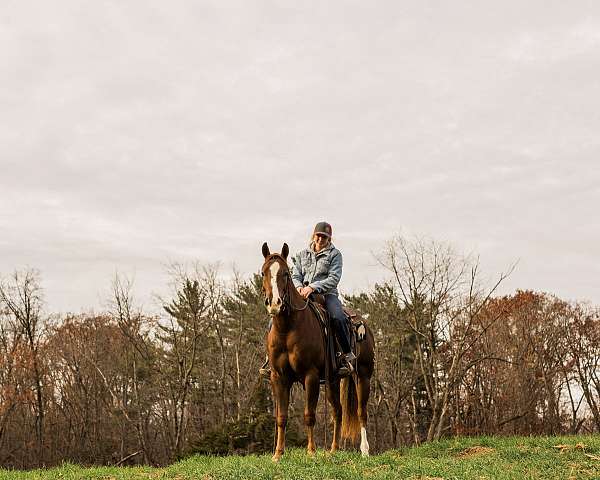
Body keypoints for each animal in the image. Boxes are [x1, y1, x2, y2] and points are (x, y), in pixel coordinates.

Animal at [258, 244, 372, 462]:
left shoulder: (310, 376)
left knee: (362, 411)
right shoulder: (278, 377)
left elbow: (309, 415)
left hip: (363, 376)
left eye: (285, 273)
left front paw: (311, 451)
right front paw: (278, 454)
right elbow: (281, 417)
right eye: (263, 272)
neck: (288, 328)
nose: (274, 303)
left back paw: (365, 450)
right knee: (338, 411)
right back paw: (334, 449)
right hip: (333, 381)